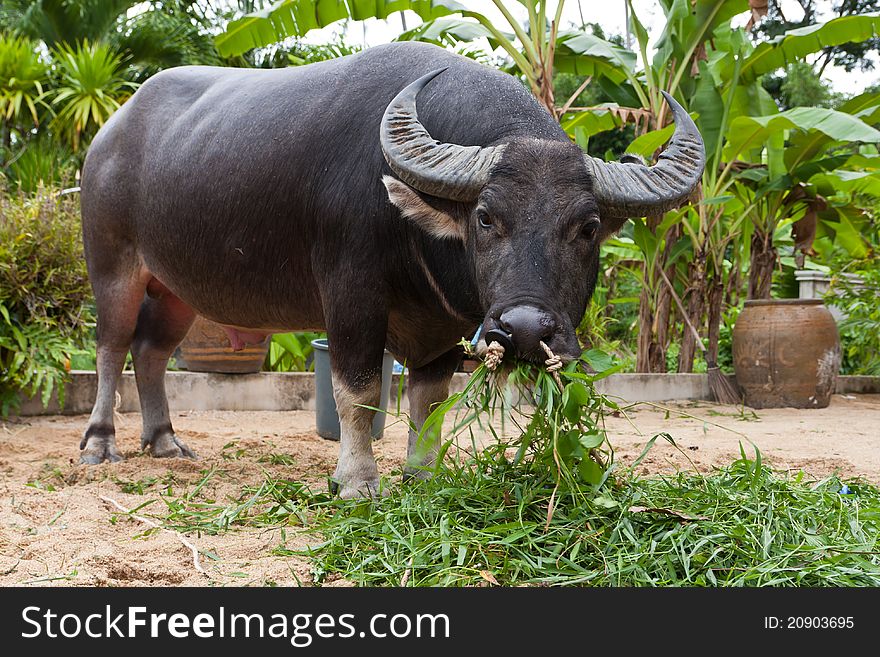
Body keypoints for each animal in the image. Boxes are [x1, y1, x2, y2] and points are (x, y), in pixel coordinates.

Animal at [81, 41, 700, 498]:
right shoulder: (350, 297)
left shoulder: (446, 322)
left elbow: (429, 401)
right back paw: (100, 444)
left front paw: (423, 476)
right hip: (111, 265)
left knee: (151, 352)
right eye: (484, 218)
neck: (414, 237)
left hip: (176, 290)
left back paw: (164, 441)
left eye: (588, 227)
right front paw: (356, 481)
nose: (524, 331)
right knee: (111, 348)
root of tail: (108, 134)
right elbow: (356, 389)